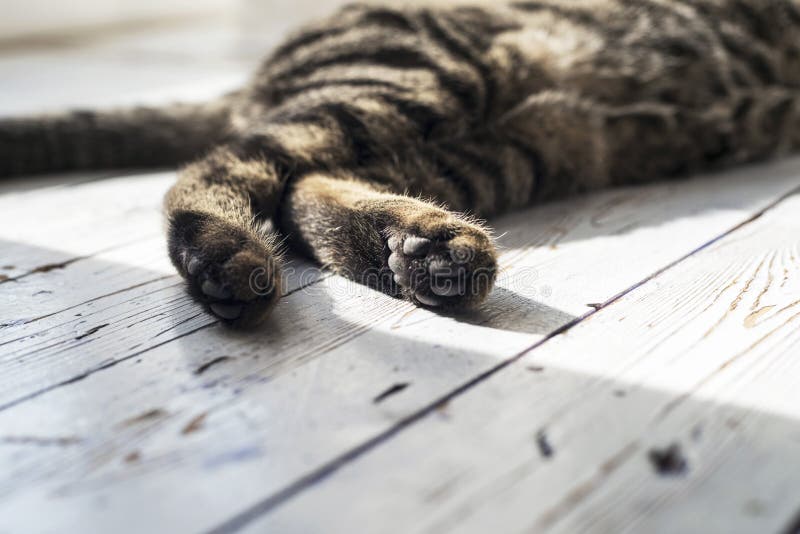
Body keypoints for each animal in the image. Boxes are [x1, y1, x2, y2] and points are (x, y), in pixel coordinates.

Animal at [1, 1, 800, 326]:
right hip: (423, 77)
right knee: (223, 168)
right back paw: (225, 259)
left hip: (519, 146)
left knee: (301, 190)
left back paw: (421, 249)